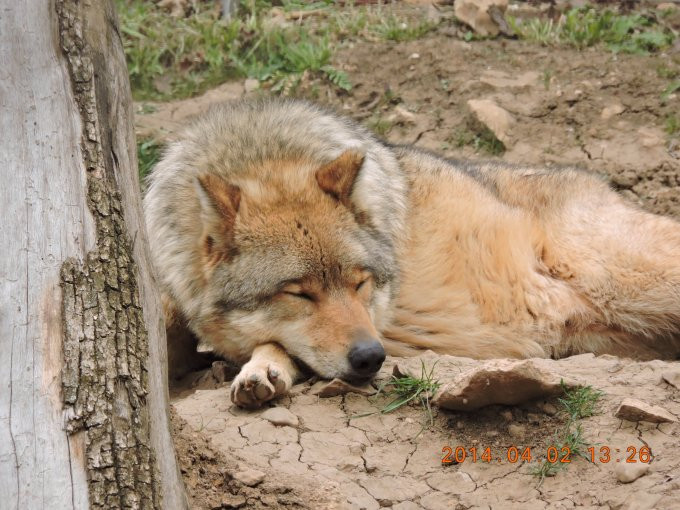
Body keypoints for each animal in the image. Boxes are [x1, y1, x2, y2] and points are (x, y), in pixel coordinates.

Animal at [143, 99, 680, 408]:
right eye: (299, 294)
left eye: (360, 282)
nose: (371, 357)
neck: (260, 156)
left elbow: (275, 345)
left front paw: (263, 369)